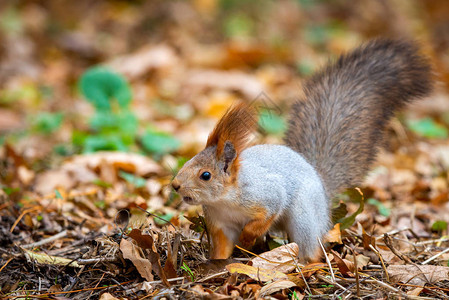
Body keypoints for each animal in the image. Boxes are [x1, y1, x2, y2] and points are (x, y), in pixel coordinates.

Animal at [171, 39, 430, 260]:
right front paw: (217, 265)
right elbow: (222, 248)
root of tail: (323, 191)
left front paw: (246, 238)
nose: (175, 185)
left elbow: (265, 216)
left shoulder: (267, 196)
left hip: (304, 216)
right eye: (187, 162)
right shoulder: (220, 224)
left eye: (205, 175)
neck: (224, 200)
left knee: (311, 248)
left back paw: (308, 264)